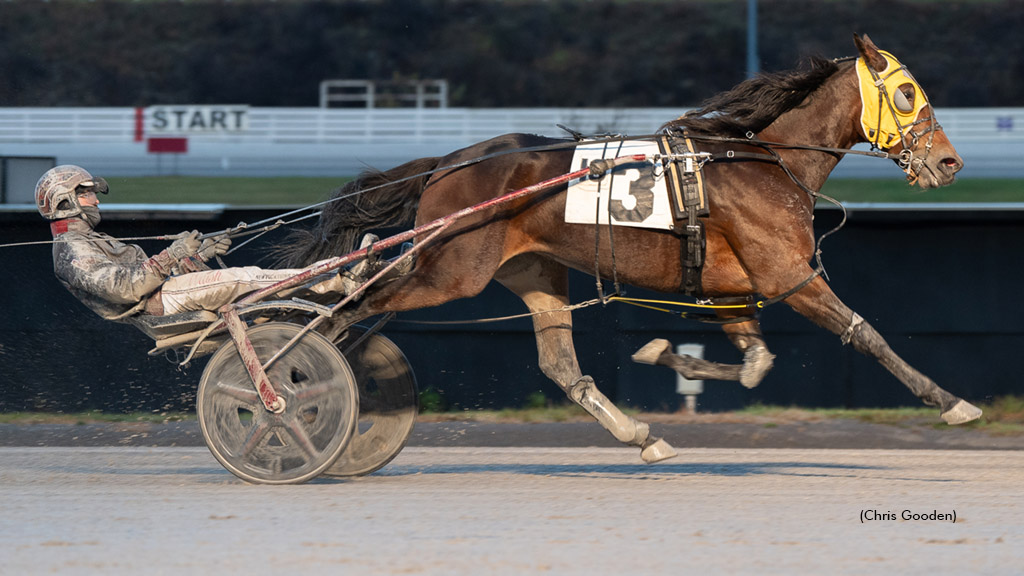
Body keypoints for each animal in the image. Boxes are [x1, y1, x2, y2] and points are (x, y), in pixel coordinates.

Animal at [278, 34, 974, 461]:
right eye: (907, 92)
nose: (949, 162)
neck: (766, 163)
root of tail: (449, 163)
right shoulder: (787, 275)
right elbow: (864, 333)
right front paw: (952, 401)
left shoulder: (733, 288)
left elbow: (754, 364)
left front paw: (665, 355)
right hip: (452, 270)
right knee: (347, 310)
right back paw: (288, 388)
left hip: (532, 271)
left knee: (560, 365)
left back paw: (642, 436)